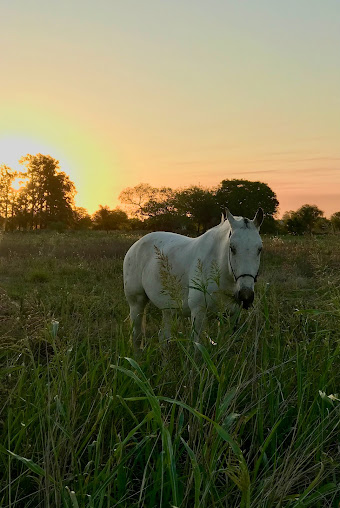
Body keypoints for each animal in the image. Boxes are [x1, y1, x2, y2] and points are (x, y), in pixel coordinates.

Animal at [123, 206, 264, 354]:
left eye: (259, 249)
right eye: (232, 248)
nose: (246, 295)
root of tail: (137, 244)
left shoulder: (232, 315)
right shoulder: (198, 314)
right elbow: (197, 350)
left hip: (167, 307)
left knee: (164, 336)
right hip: (136, 303)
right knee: (137, 335)